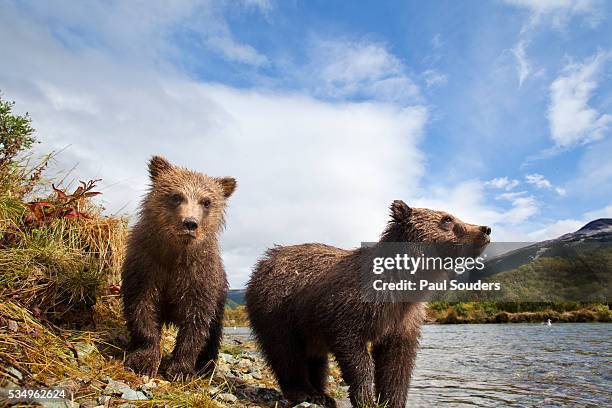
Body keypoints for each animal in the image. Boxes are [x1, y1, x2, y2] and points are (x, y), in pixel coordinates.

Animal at [120, 155, 235, 380]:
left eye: (206, 202)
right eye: (176, 196)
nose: (190, 223)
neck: (176, 254)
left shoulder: (199, 278)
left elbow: (196, 323)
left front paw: (181, 369)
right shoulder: (146, 266)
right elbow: (141, 308)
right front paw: (143, 360)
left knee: (213, 333)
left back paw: (206, 367)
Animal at [246, 202, 490, 408]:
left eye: (453, 215)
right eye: (447, 219)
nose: (485, 229)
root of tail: (263, 262)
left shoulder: (404, 319)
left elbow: (397, 362)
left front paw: (392, 401)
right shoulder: (347, 309)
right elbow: (354, 352)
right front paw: (366, 399)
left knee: (316, 360)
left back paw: (322, 394)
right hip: (278, 309)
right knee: (286, 352)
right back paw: (305, 393)